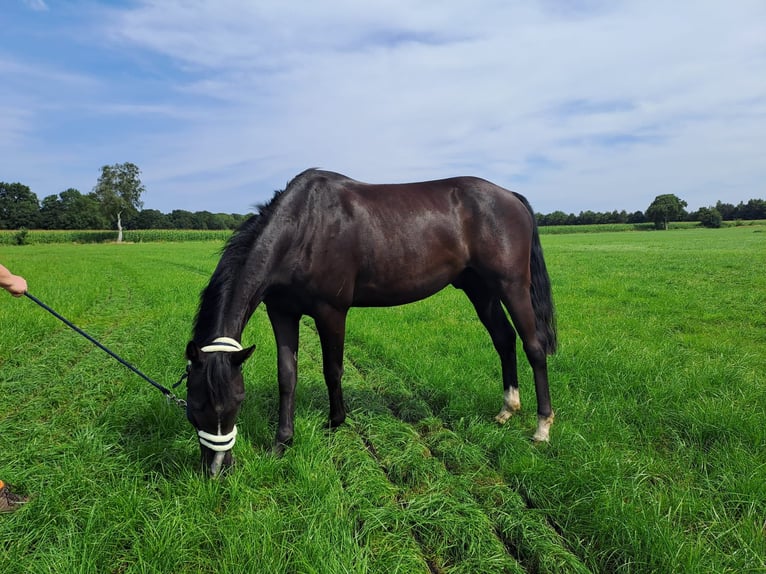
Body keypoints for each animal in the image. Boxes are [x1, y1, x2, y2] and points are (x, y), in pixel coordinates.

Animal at [186, 170, 560, 476]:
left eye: (236, 401)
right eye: (195, 404)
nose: (217, 469)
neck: (303, 227)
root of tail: (510, 196)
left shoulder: (331, 311)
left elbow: (332, 369)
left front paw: (336, 422)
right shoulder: (282, 312)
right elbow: (287, 376)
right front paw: (282, 443)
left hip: (511, 285)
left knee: (533, 346)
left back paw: (542, 427)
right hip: (479, 288)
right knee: (504, 338)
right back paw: (507, 409)